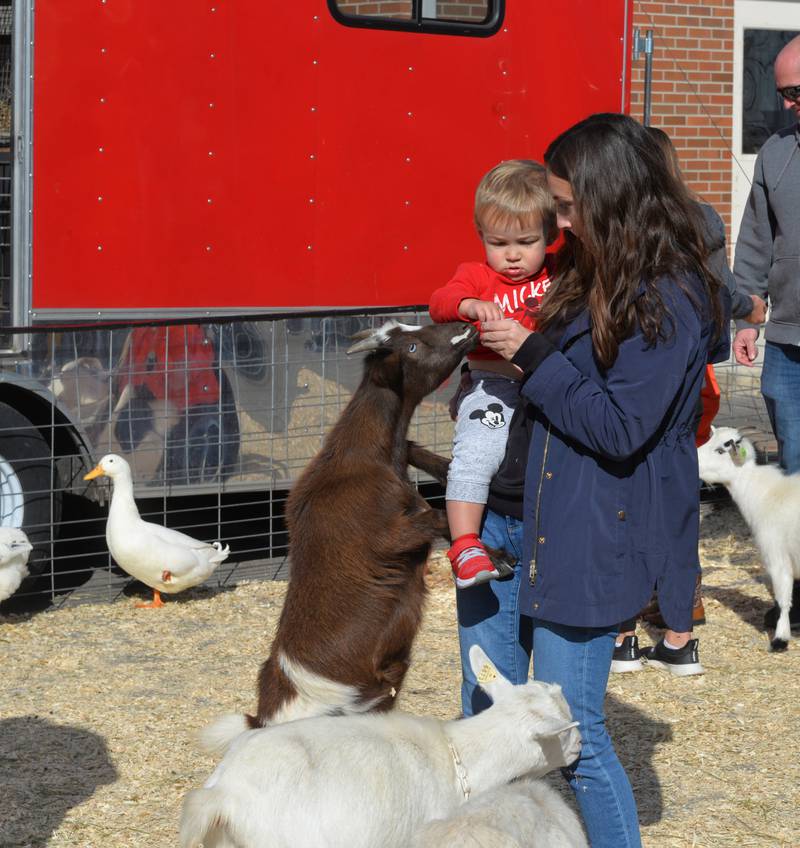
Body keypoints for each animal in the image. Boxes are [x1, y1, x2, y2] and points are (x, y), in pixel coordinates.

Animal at [205, 316, 488, 744]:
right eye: (411, 348)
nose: (464, 325)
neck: (365, 455)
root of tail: (262, 720)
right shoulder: (389, 538)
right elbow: (436, 516)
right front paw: (497, 558)